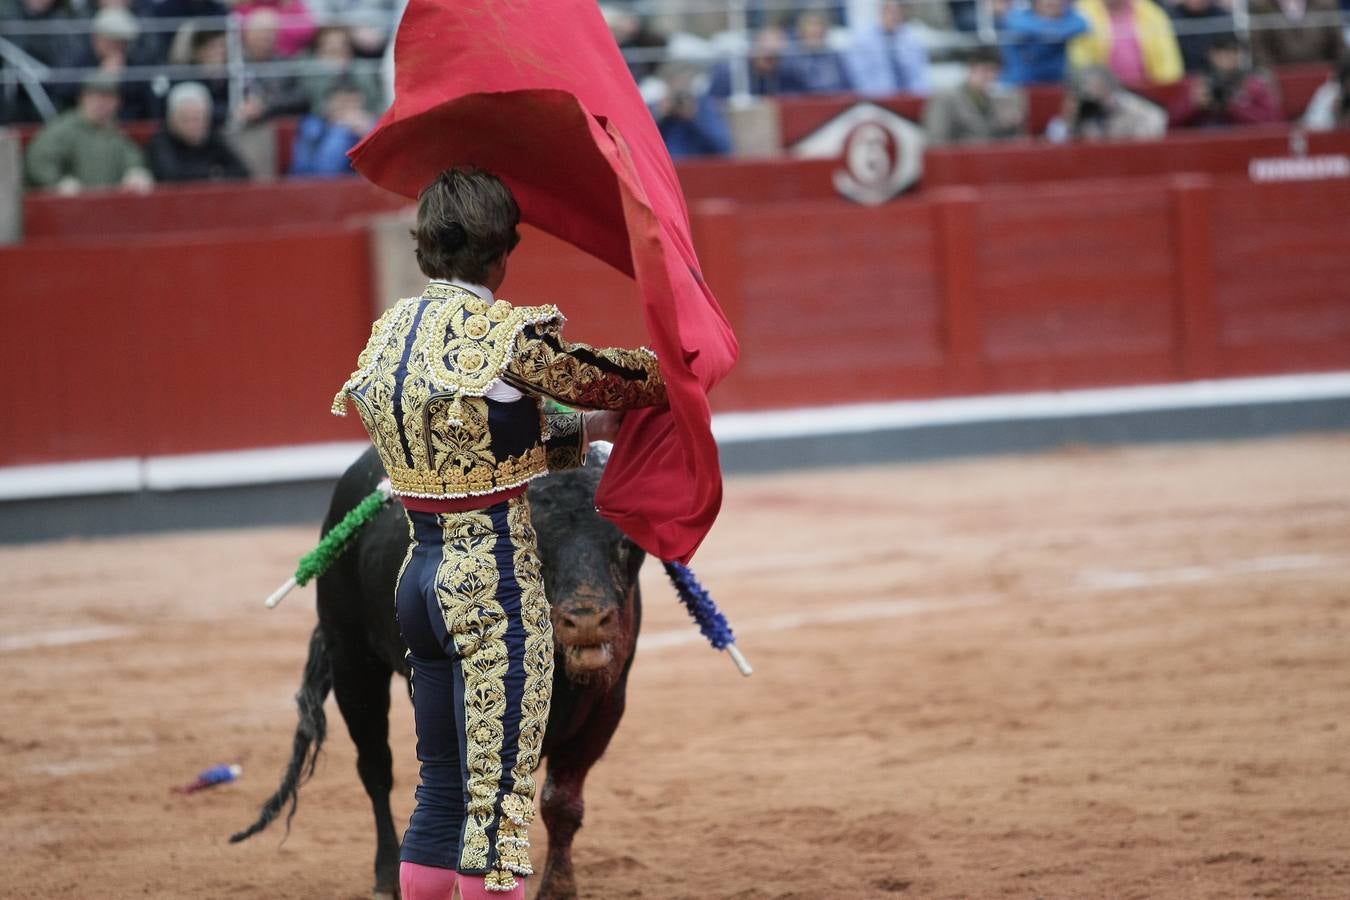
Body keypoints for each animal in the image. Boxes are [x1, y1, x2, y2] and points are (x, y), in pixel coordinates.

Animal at [233, 450, 648, 900]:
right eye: (541, 544)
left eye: (625, 543)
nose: (587, 621)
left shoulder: (608, 704)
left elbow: (562, 802)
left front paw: (558, 887)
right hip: (352, 664)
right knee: (376, 769)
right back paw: (386, 876)